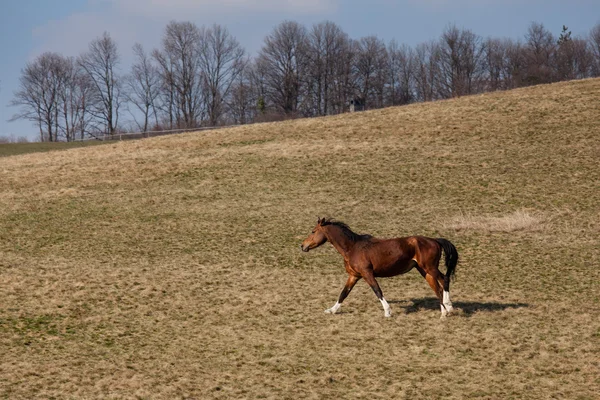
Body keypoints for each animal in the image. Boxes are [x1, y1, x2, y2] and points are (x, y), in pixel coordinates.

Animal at [300, 217, 460, 318]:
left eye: (313, 231)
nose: (302, 246)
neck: (352, 247)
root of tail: (435, 240)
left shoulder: (367, 274)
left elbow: (377, 291)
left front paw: (388, 312)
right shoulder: (354, 276)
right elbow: (344, 293)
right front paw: (331, 310)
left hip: (430, 268)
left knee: (445, 280)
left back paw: (449, 306)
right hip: (424, 271)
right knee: (437, 289)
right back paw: (444, 313)